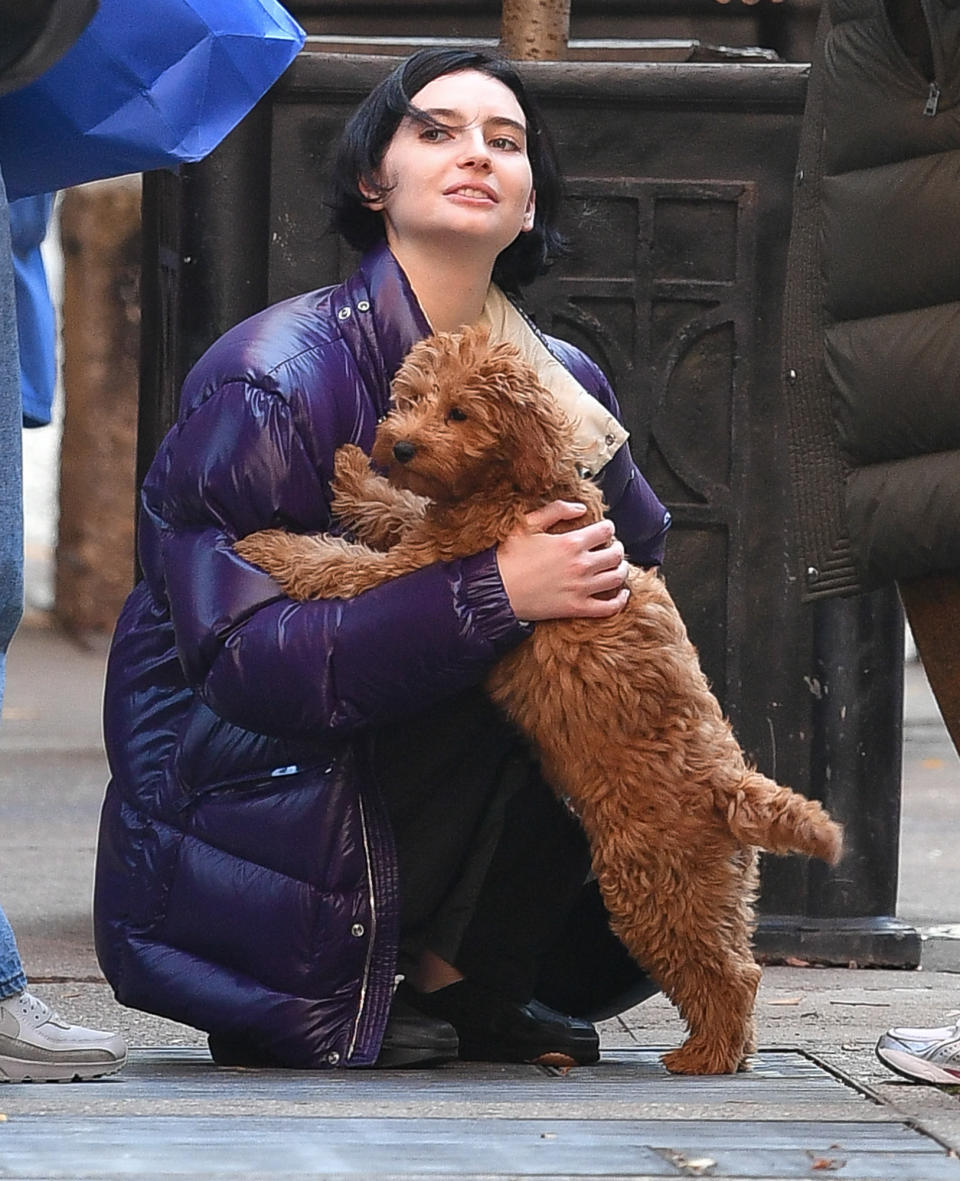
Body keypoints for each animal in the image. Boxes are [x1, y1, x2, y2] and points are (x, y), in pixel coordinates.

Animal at [236, 328, 840, 1077]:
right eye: (412, 398)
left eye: (459, 412)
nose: (399, 445)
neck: (518, 485)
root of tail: (731, 783)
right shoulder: (434, 533)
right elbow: (397, 509)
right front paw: (354, 472)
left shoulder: (420, 567)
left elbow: (341, 563)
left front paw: (270, 544)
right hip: (714, 888)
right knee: (744, 965)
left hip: (654, 889)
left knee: (719, 973)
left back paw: (705, 1055)